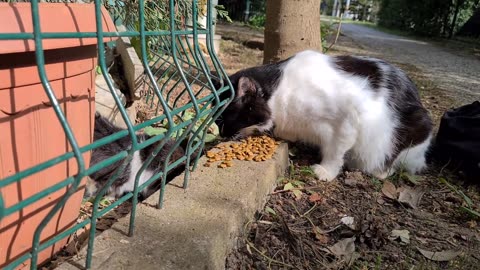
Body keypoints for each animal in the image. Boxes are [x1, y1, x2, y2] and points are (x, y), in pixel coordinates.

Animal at [216, 50, 434, 181]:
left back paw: (380, 170)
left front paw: (326, 171)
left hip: (414, 127)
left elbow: (335, 151)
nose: (222, 135)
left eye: (226, 119)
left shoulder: (346, 119)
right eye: (217, 122)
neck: (280, 93)